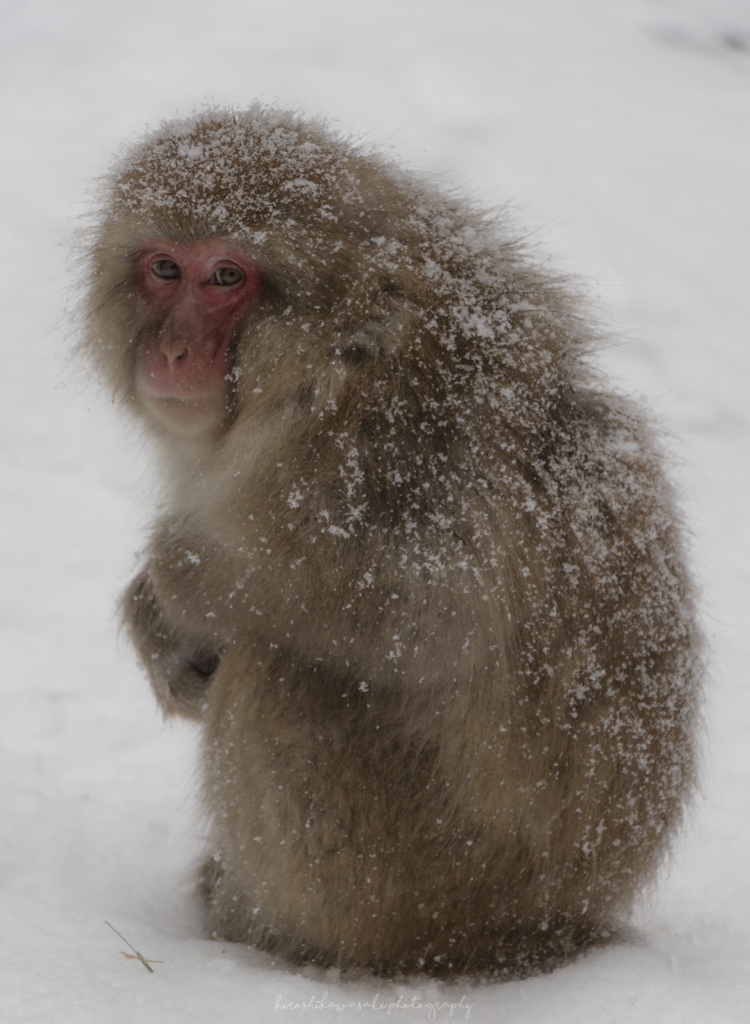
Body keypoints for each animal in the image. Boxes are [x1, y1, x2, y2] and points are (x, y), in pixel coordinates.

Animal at [81, 108, 704, 978]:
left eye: (227, 277)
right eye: (165, 268)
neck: (319, 354)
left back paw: (272, 932)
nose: (171, 351)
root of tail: (564, 921)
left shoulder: (379, 449)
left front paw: (182, 577)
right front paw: (155, 624)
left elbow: (427, 610)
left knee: (285, 675)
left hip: (420, 888)